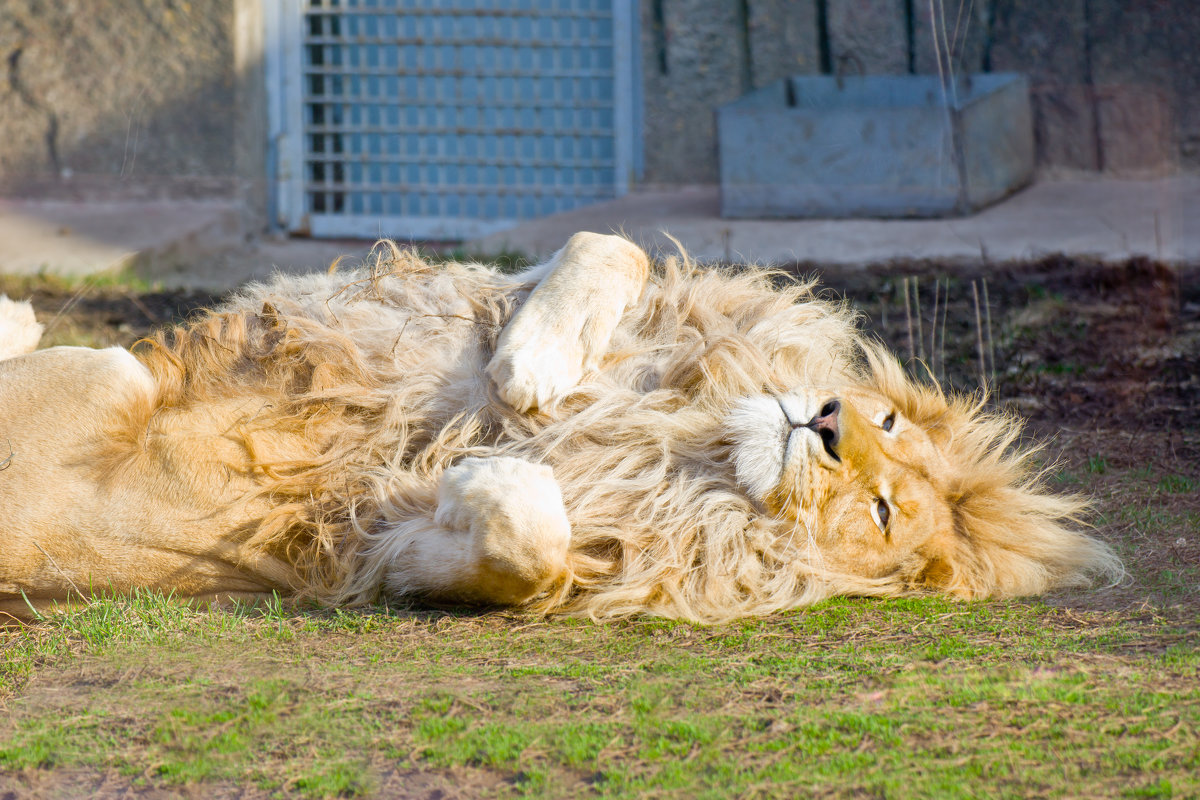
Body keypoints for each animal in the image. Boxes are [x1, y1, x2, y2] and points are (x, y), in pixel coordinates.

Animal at [0, 231, 1113, 618]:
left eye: (882, 509)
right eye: (882, 415)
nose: (829, 420)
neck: (697, 439)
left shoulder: (372, 546)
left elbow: (527, 549)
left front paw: (487, 479)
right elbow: (607, 244)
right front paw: (535, 365)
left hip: (109, 372)